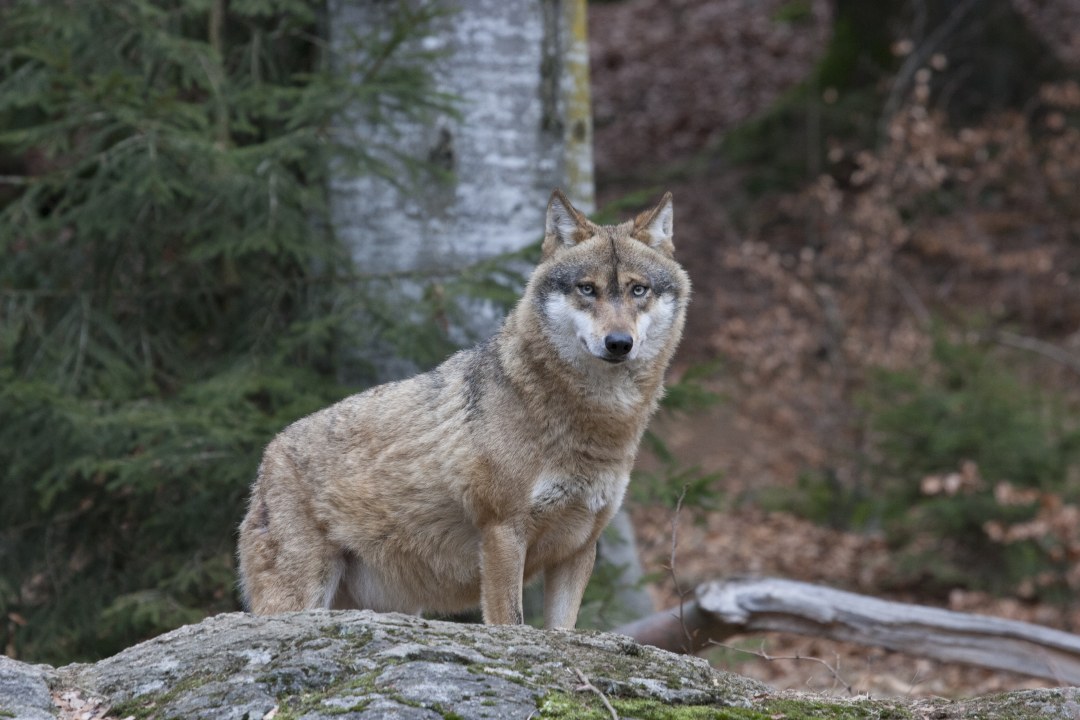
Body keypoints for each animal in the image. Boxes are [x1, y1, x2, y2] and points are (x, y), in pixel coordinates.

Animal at [237, 189, 690, 628]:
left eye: (638, 290)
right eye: (587, 289)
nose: (618, 343)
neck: (597, 423)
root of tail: (269, 453)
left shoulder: (580, 548)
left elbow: (562, 631)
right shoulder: (503, 533)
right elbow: (511, 623)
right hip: (300, 598)